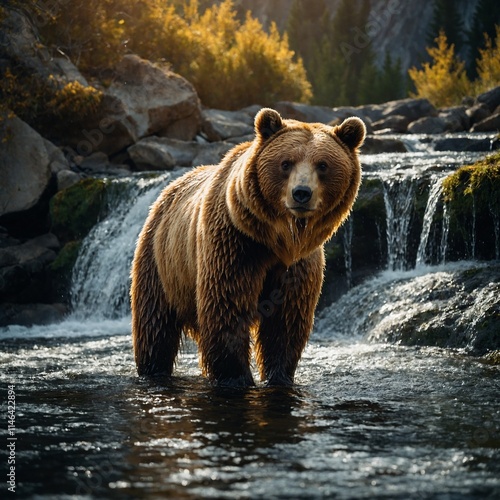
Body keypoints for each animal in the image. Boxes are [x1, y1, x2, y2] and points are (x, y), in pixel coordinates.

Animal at [131, 108, 366, 386]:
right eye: (286, 163)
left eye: (323, 165)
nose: (301, 193)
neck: (277, 238)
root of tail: (168, 190)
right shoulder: (236, 244)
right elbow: (227, 307)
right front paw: (236, 377)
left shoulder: (297, 263)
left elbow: (285, 321)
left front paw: (279, 376)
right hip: (161, 261)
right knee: (155, 325)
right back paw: (153, 368)